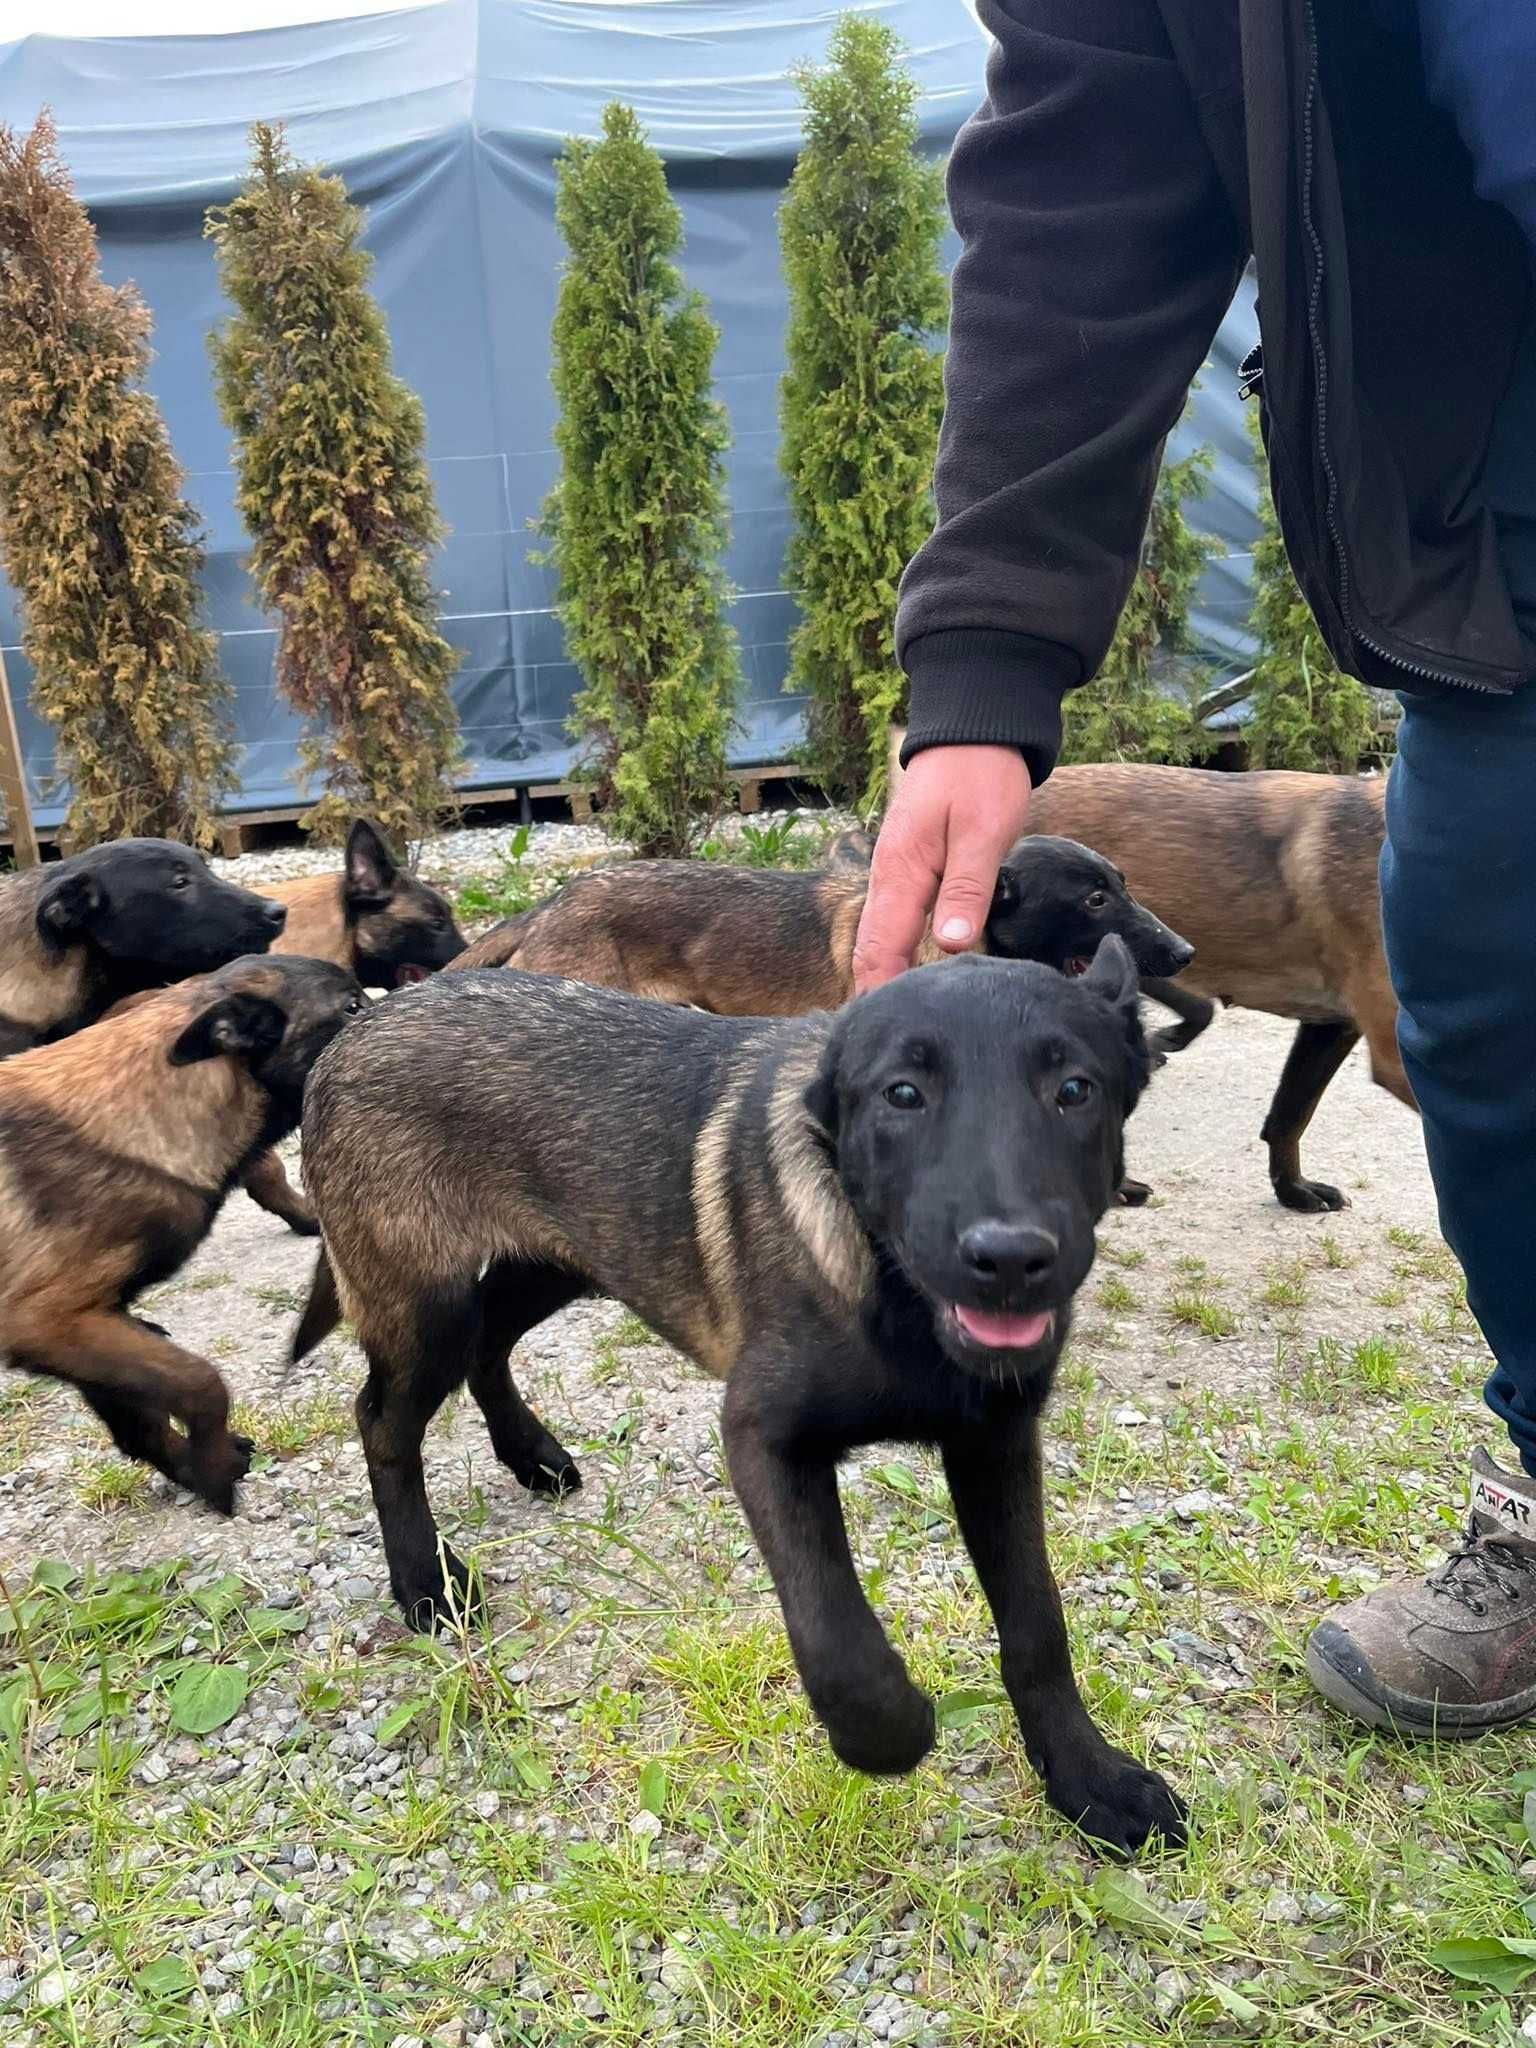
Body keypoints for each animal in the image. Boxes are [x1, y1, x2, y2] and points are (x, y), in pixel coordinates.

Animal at [0, 950, 366, 1515]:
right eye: (351, 1005)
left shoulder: (92, 1320)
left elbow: (138, 1417)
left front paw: (189, 1467)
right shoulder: (49, 1321)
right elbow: (202, 1381)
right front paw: (214, 1471)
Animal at [296, 942, 1187, 1859]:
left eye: (1075, 1089)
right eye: (903, 1094)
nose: (1009, 1259)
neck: (891, 1294)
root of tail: (359, 1028)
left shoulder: (995, 1442)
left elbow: (1037, 1626)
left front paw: (1089, 1780)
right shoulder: (763, 1435)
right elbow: (834, 1636)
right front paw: (888, 1733)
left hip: (561, 1261)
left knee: (489, 1346)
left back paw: (530, 1457)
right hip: (427, 1305)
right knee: (383, 1422)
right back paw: (425, 1582)